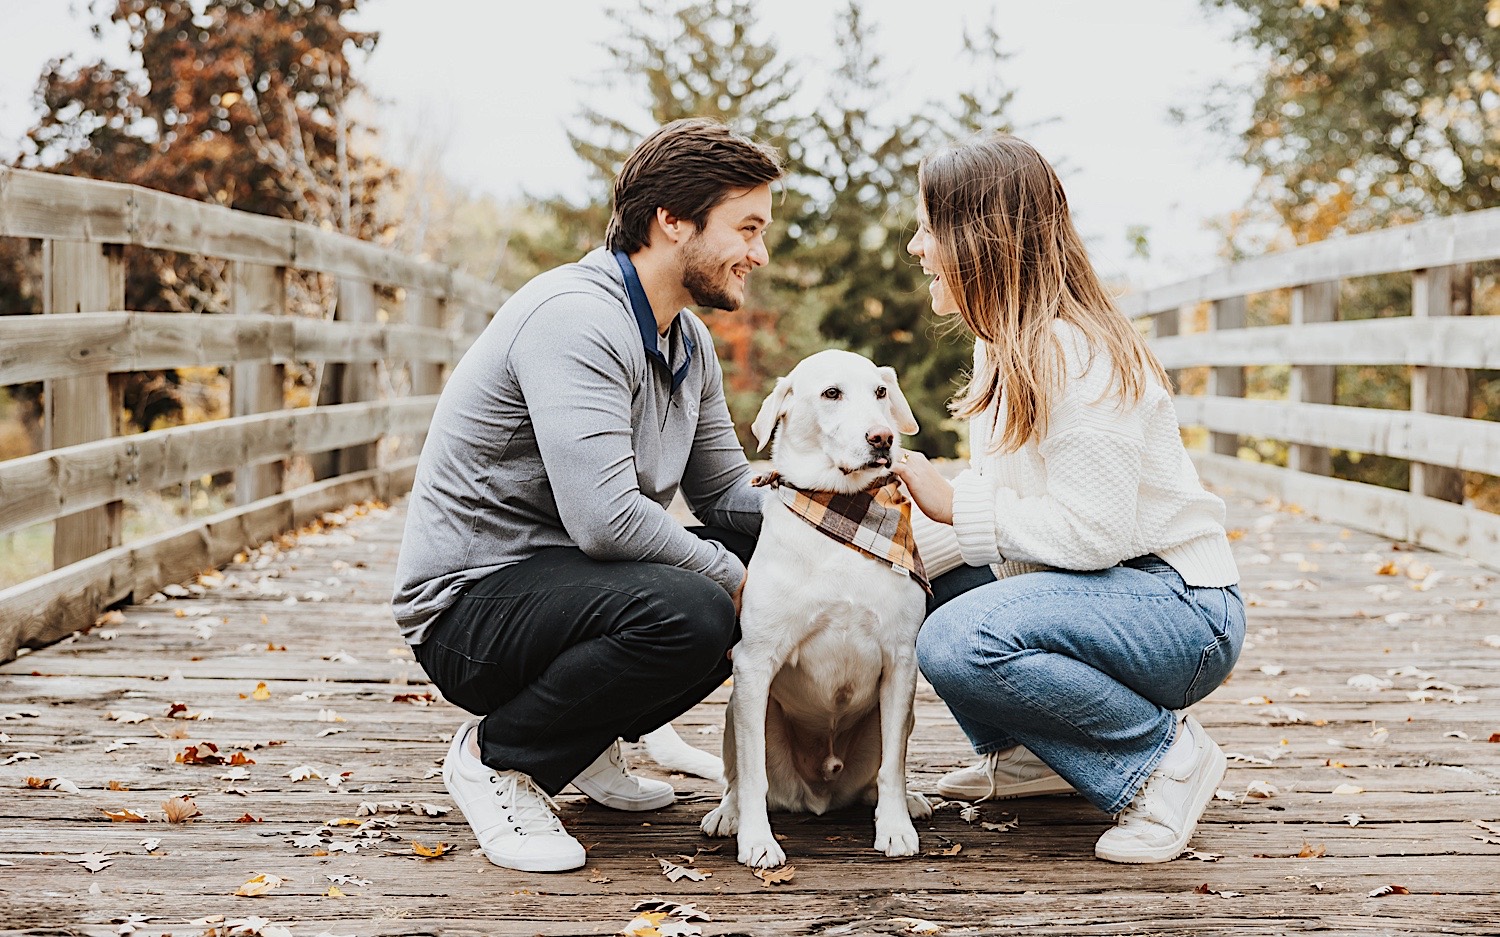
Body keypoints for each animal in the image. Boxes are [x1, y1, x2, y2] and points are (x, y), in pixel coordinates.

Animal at [696, 347, 930, 863]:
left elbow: (892, 768)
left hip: (896, 717)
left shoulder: (901, 662)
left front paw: (895, 828)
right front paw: (757, 840)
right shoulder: (754, 664)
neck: (840, 510)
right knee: (739, 776)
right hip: (739, 711)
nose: (882, 438)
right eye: (831, 393)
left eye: (880, 392)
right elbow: (753, 775)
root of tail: (819, 794)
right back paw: (728, 814)